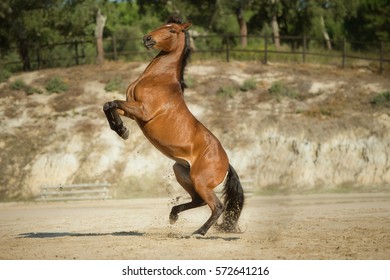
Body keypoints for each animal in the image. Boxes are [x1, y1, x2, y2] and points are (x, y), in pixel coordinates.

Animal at [103, 17, 244, 236]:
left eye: (172, 30)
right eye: (163, 24)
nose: (147, 38)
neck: (159, 79)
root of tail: (226, 163)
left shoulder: (142, 111)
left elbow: (112, 103)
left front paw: (122, 131)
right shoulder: (132, 112)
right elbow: (108, 105)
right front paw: (121, 130)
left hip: (199, 180)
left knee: (217, 206)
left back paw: (199, 232)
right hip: (181, 171)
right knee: (199, 200)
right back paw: (174, 215)